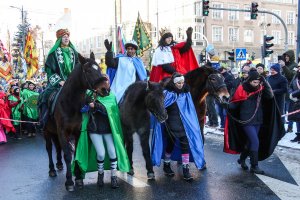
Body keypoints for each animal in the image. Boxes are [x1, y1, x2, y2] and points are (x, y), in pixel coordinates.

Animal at [42, 52, 104, 191]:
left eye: (99, 68)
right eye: (88, 71)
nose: (105, 89)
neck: (70, 104)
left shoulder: (77, 131)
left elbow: (75, 153)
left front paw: (78, 178)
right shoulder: (62, 132)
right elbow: (67, 155)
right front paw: (69, 181)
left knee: (57, 147)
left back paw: (59, 164)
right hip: (46, 131)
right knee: (49, 148)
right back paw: (52, 169)